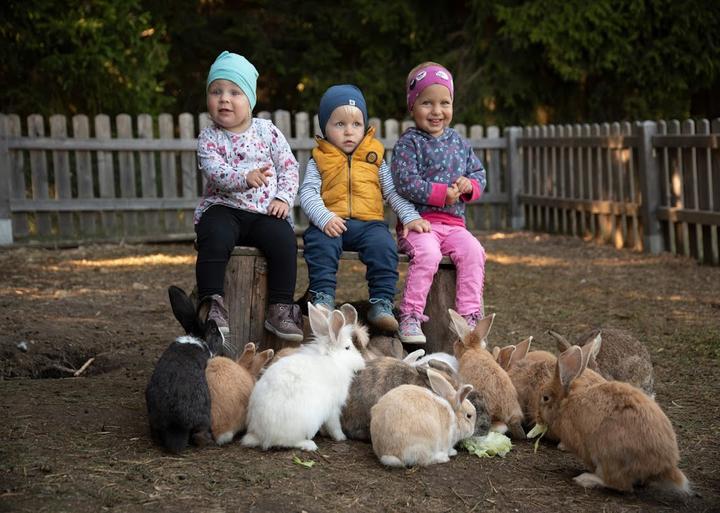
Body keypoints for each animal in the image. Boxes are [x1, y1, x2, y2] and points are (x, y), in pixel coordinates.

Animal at [145, 286, 224, 454]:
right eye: (214, 330)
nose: (223, 337)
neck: (196, 338)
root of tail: (176, 426)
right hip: (204, 413)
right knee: (199, 436)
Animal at [240, 302, 366, 450]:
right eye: (347, 348)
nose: (361, 363)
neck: (332, 358)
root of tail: (261, 435)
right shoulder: (333, 408)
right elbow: (334, 425)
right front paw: (341, 437)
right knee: (286, 442)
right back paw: (309, 444)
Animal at [536, 336, 688, 492]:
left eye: (545, 398)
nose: (538, 416)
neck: (567, 401)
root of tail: (664, 467)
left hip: (608, 456)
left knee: (618, 484)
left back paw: (585, 479)